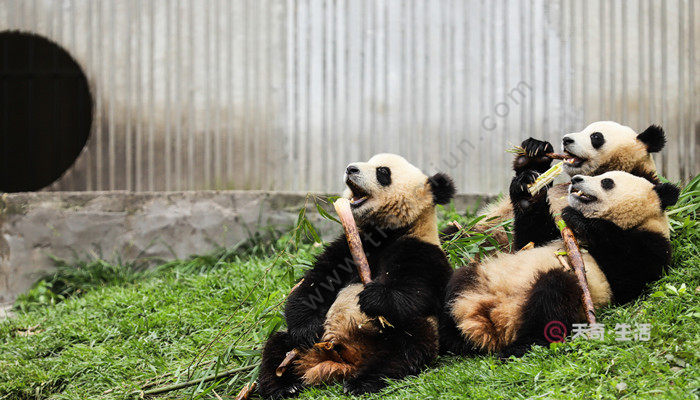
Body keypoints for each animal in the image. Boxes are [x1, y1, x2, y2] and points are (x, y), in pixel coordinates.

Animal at [260, 152, 456, 396]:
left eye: (382, 172)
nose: (350, 168)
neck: (384, 234)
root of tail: (344, 358)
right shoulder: (347, 247)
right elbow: (316, 283)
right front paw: (306, 328)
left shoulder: (422, 250)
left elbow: (417, 292)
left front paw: (373, 297)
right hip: (300, 346)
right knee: (277, 345)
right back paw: (285, 386)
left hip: (404, 333)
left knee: (407, 348)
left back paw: (361, 382)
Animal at [440, 171, 680, 356]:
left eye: (606, 181)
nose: (576, 179)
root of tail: (493, 319)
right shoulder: (549, 234)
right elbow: (529, 238)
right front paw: (527, 191)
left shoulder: (652, 246)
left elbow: (628, 274)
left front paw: (580, 219)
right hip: (481, 276)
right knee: (456, 283)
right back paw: (451, 337)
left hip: (561, 299)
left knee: (553, 297)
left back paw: (520, 347)